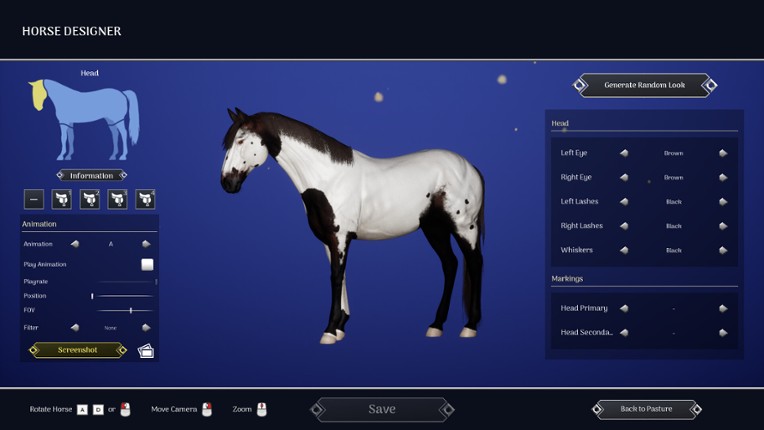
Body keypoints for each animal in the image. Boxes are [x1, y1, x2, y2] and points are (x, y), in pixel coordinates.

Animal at [220, 108, 485, 344]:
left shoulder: (340, 237)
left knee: (474, 264)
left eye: (241, 140)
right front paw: (340, 327)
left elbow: (336, 277)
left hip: (464, 227)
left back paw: (470, 326)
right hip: (434, 229)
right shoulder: (330, 240)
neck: (329, 178)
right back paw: (436, 325)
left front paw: (329, 331)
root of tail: (470, 167)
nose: (227, 183)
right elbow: (341, 275)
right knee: (450, 265)